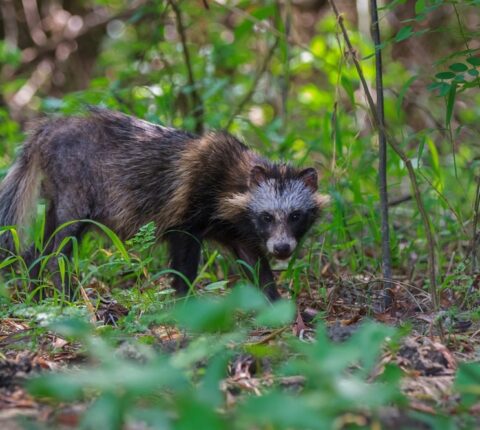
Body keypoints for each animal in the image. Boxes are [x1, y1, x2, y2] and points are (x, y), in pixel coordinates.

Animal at [0, 109, 328, 300]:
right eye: (268, 217)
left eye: (296, 216)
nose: (282, 249)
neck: (235, 180)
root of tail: (47, 131)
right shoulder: (189, 208)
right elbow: (184, 260)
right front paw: (185, 299)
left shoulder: (238, 229)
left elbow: (254, 262)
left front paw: (274, 301)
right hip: (75, 183)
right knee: (61, 245)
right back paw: (64, 291)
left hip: (57, 192)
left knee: (44, 243)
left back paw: (37, 289)